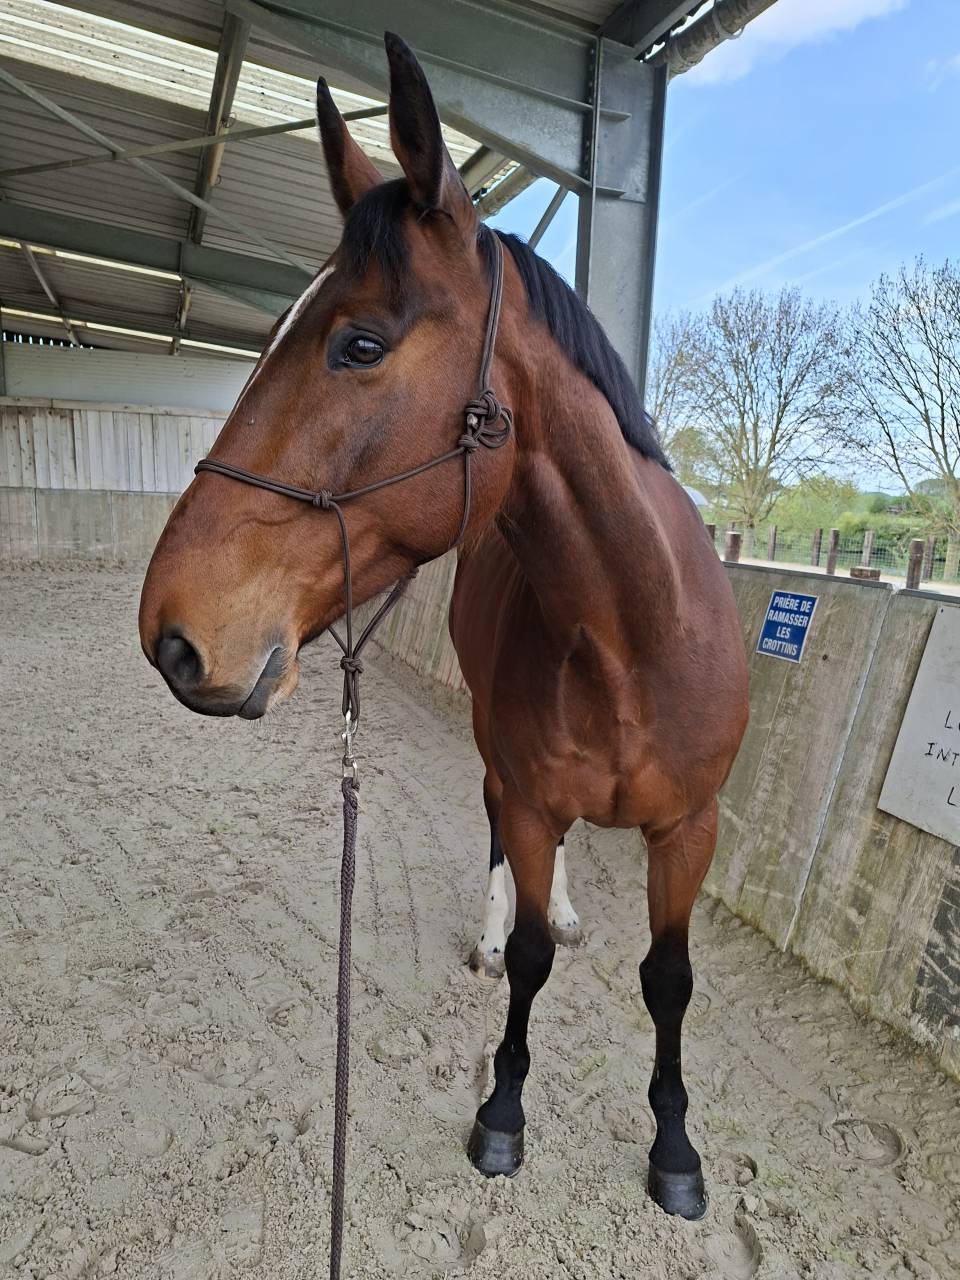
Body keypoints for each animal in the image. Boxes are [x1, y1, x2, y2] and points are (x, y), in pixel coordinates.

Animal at [138, 32, 748, 1222]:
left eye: (360, 344)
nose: (171, 634)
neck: (636, 636)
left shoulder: (689, 828)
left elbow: (672, 980)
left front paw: (675, 1147)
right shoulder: (527, 793)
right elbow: (528, 961)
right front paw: (502, 1110)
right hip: (495, 760)